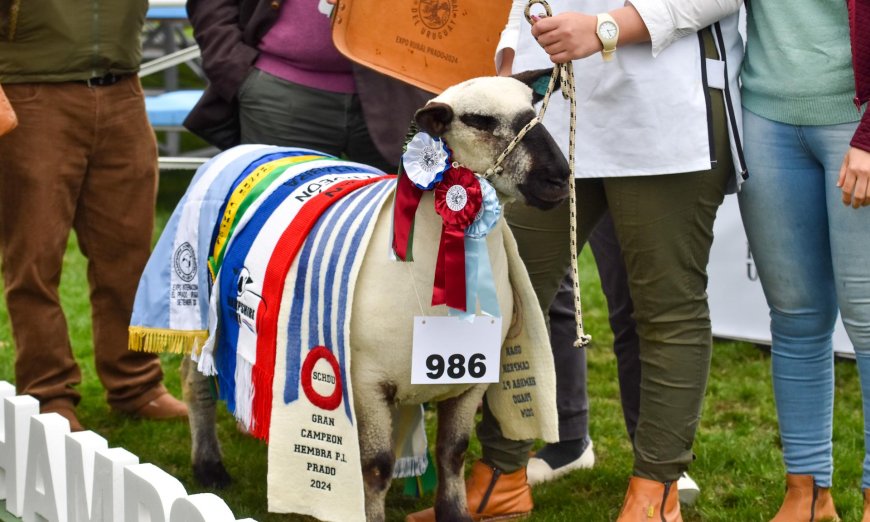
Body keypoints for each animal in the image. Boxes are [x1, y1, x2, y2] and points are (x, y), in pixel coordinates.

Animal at [183, 69, 572, 520]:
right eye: (480, 120)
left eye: (534, 107)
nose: (558, 177)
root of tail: (245, 147)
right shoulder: (366, 382)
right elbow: (376, 467)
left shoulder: (472, 378)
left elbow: (453, 453)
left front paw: (454, 512)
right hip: (197, 310)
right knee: (196, 386)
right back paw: (209, 467)